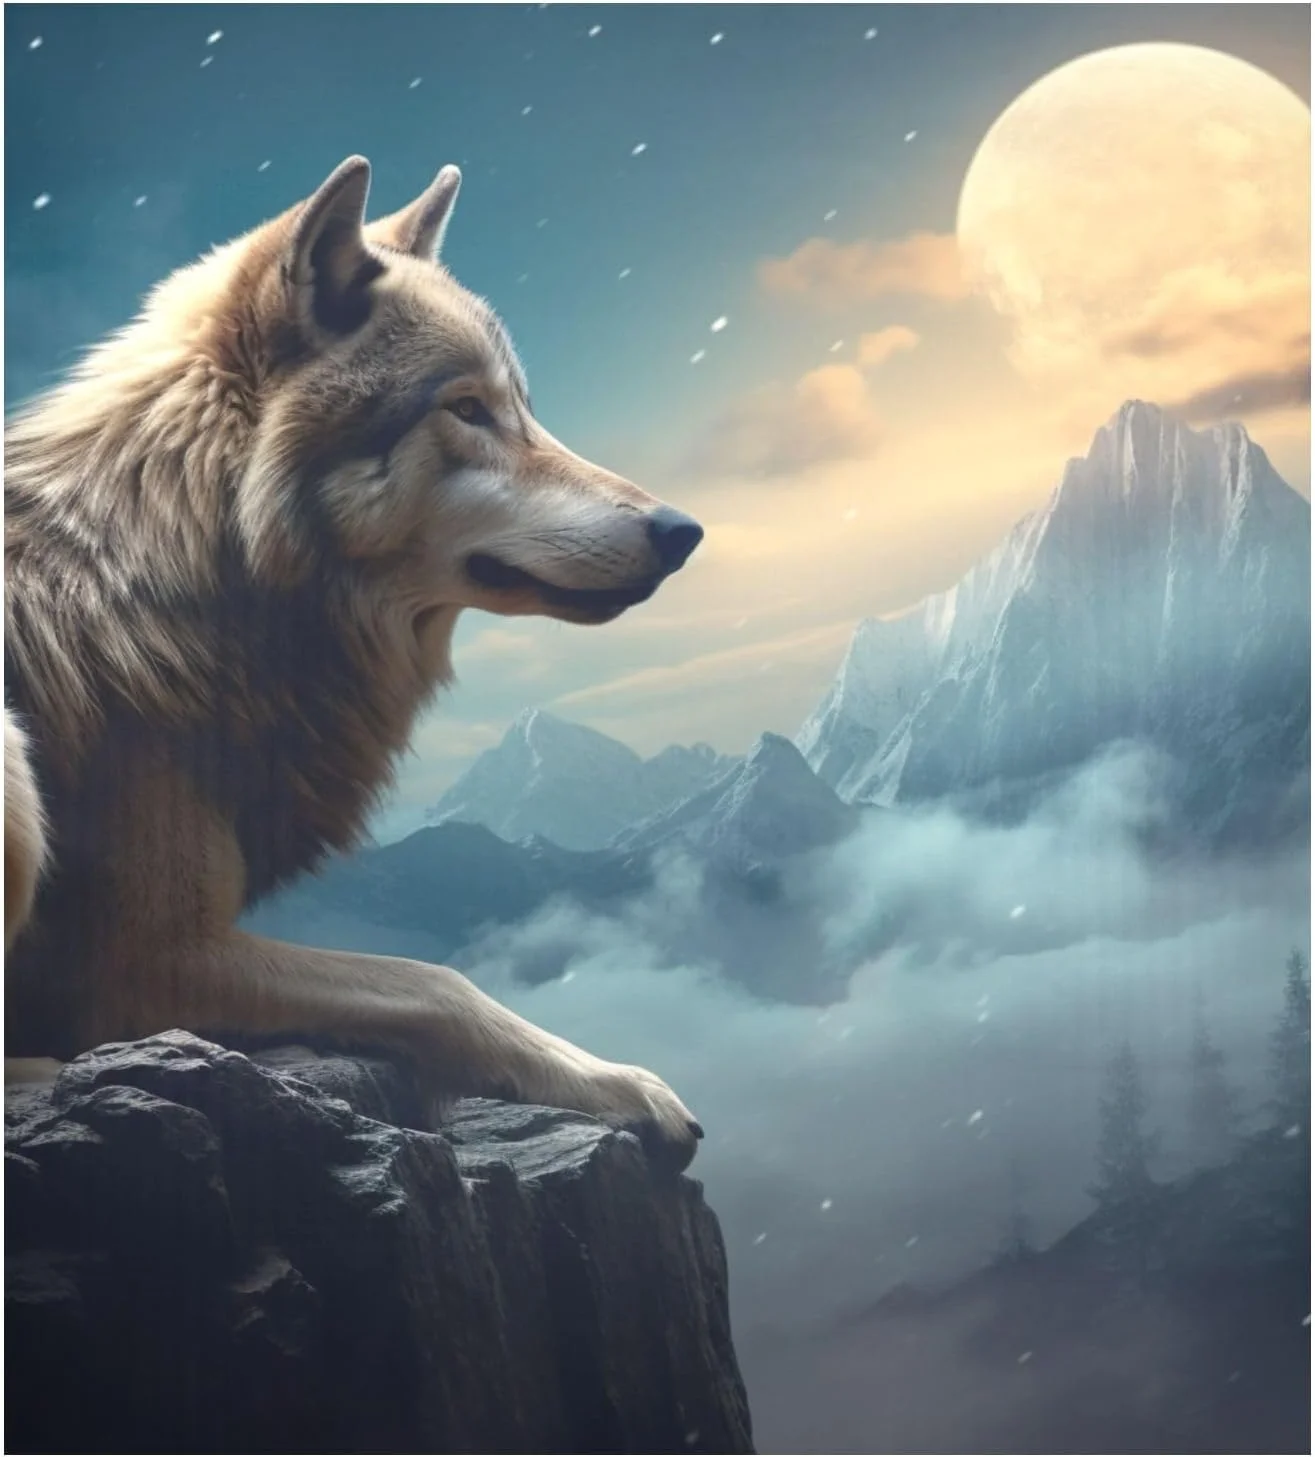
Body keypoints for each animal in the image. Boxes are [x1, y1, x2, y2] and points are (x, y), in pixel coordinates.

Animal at [4, 156, 706, 1168]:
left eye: (525, 410)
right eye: (466, 409)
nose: (681, 531)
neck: (179, 578)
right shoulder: (149, 957)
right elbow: (437, 981)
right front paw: (619, 1083)